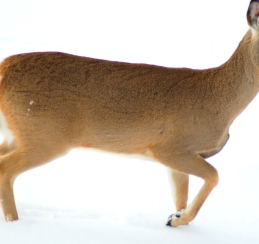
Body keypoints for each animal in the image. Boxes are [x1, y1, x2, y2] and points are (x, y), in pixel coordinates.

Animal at [0, 0, 259, 228]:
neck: (221, 102)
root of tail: (4, 70)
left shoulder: (178, 156)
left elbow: (181, 198)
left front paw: (175, 220)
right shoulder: (170, 147)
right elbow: (214, 176)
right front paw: (176, 219)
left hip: (20, 134)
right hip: (46, 136)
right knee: (5, 169)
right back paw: (15, 223)